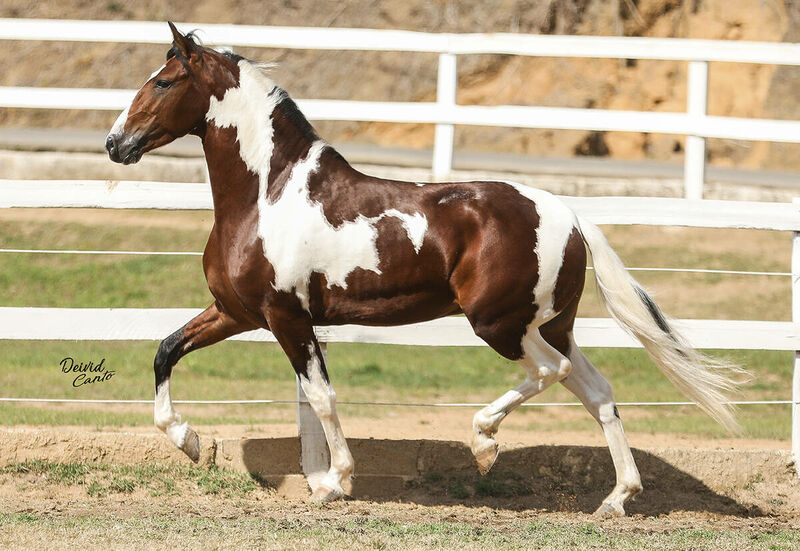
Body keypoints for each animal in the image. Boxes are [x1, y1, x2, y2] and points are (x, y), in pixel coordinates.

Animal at [106, 22, 744, 516]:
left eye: (163, 81)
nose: (116, 143)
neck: (269, 194)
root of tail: (568, 214)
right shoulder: (238, 312)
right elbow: (165, 351)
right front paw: (191, 441)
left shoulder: (287, 318)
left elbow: (321, 398)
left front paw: (334, 483)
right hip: (548, 324)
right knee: (598, 391)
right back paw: (616, 498)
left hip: (500, 325)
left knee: (552, 372)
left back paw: (485, 444)